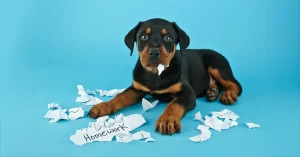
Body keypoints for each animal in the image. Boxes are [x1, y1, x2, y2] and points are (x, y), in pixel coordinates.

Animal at [88, 17, 243, 135]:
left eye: (168, 38)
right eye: (143, 36)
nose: (154, 53)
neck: (156, 73)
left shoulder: (187, 93)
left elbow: (174, 104)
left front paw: (167, 120)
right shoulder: (137, 88)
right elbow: (121, 96)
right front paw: (104, 106)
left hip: (216, 65)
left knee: (235, 84)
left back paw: (228, 94)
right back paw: (212, 91)